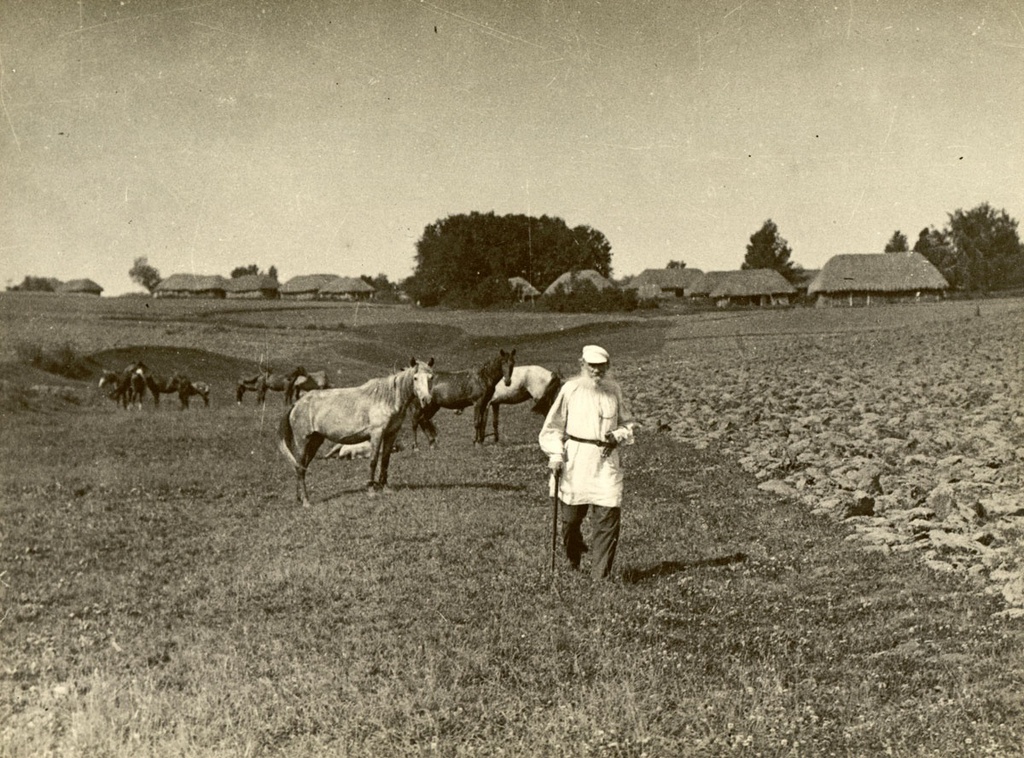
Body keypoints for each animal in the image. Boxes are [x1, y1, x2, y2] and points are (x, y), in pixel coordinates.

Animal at [280, 358, 436, 506]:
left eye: (431, 377)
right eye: (415, 378)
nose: (426, 400)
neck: (387, 398)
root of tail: (296, 404)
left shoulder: (391, 434)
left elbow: (385, 460)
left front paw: (385, 488)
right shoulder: (376, 434)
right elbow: (373, 461)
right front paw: (371, 490)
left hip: (315, 441)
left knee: (301, 467)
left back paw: (299, 498)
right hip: (303, 442)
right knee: (300, 468)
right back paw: (306, 501)